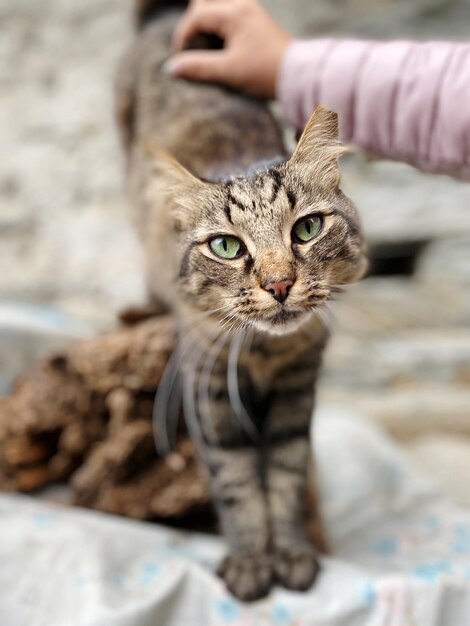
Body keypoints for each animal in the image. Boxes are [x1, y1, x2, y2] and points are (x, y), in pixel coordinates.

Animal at [114, 0, 368, 600]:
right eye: (227, 247)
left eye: (307, 229)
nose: (278, 285)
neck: (264, 353)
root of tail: (167, 15)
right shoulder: (206, 381)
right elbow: (237, 482)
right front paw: (253, 560)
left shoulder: (299, 387)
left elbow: (286, 475)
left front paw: (291, 553)